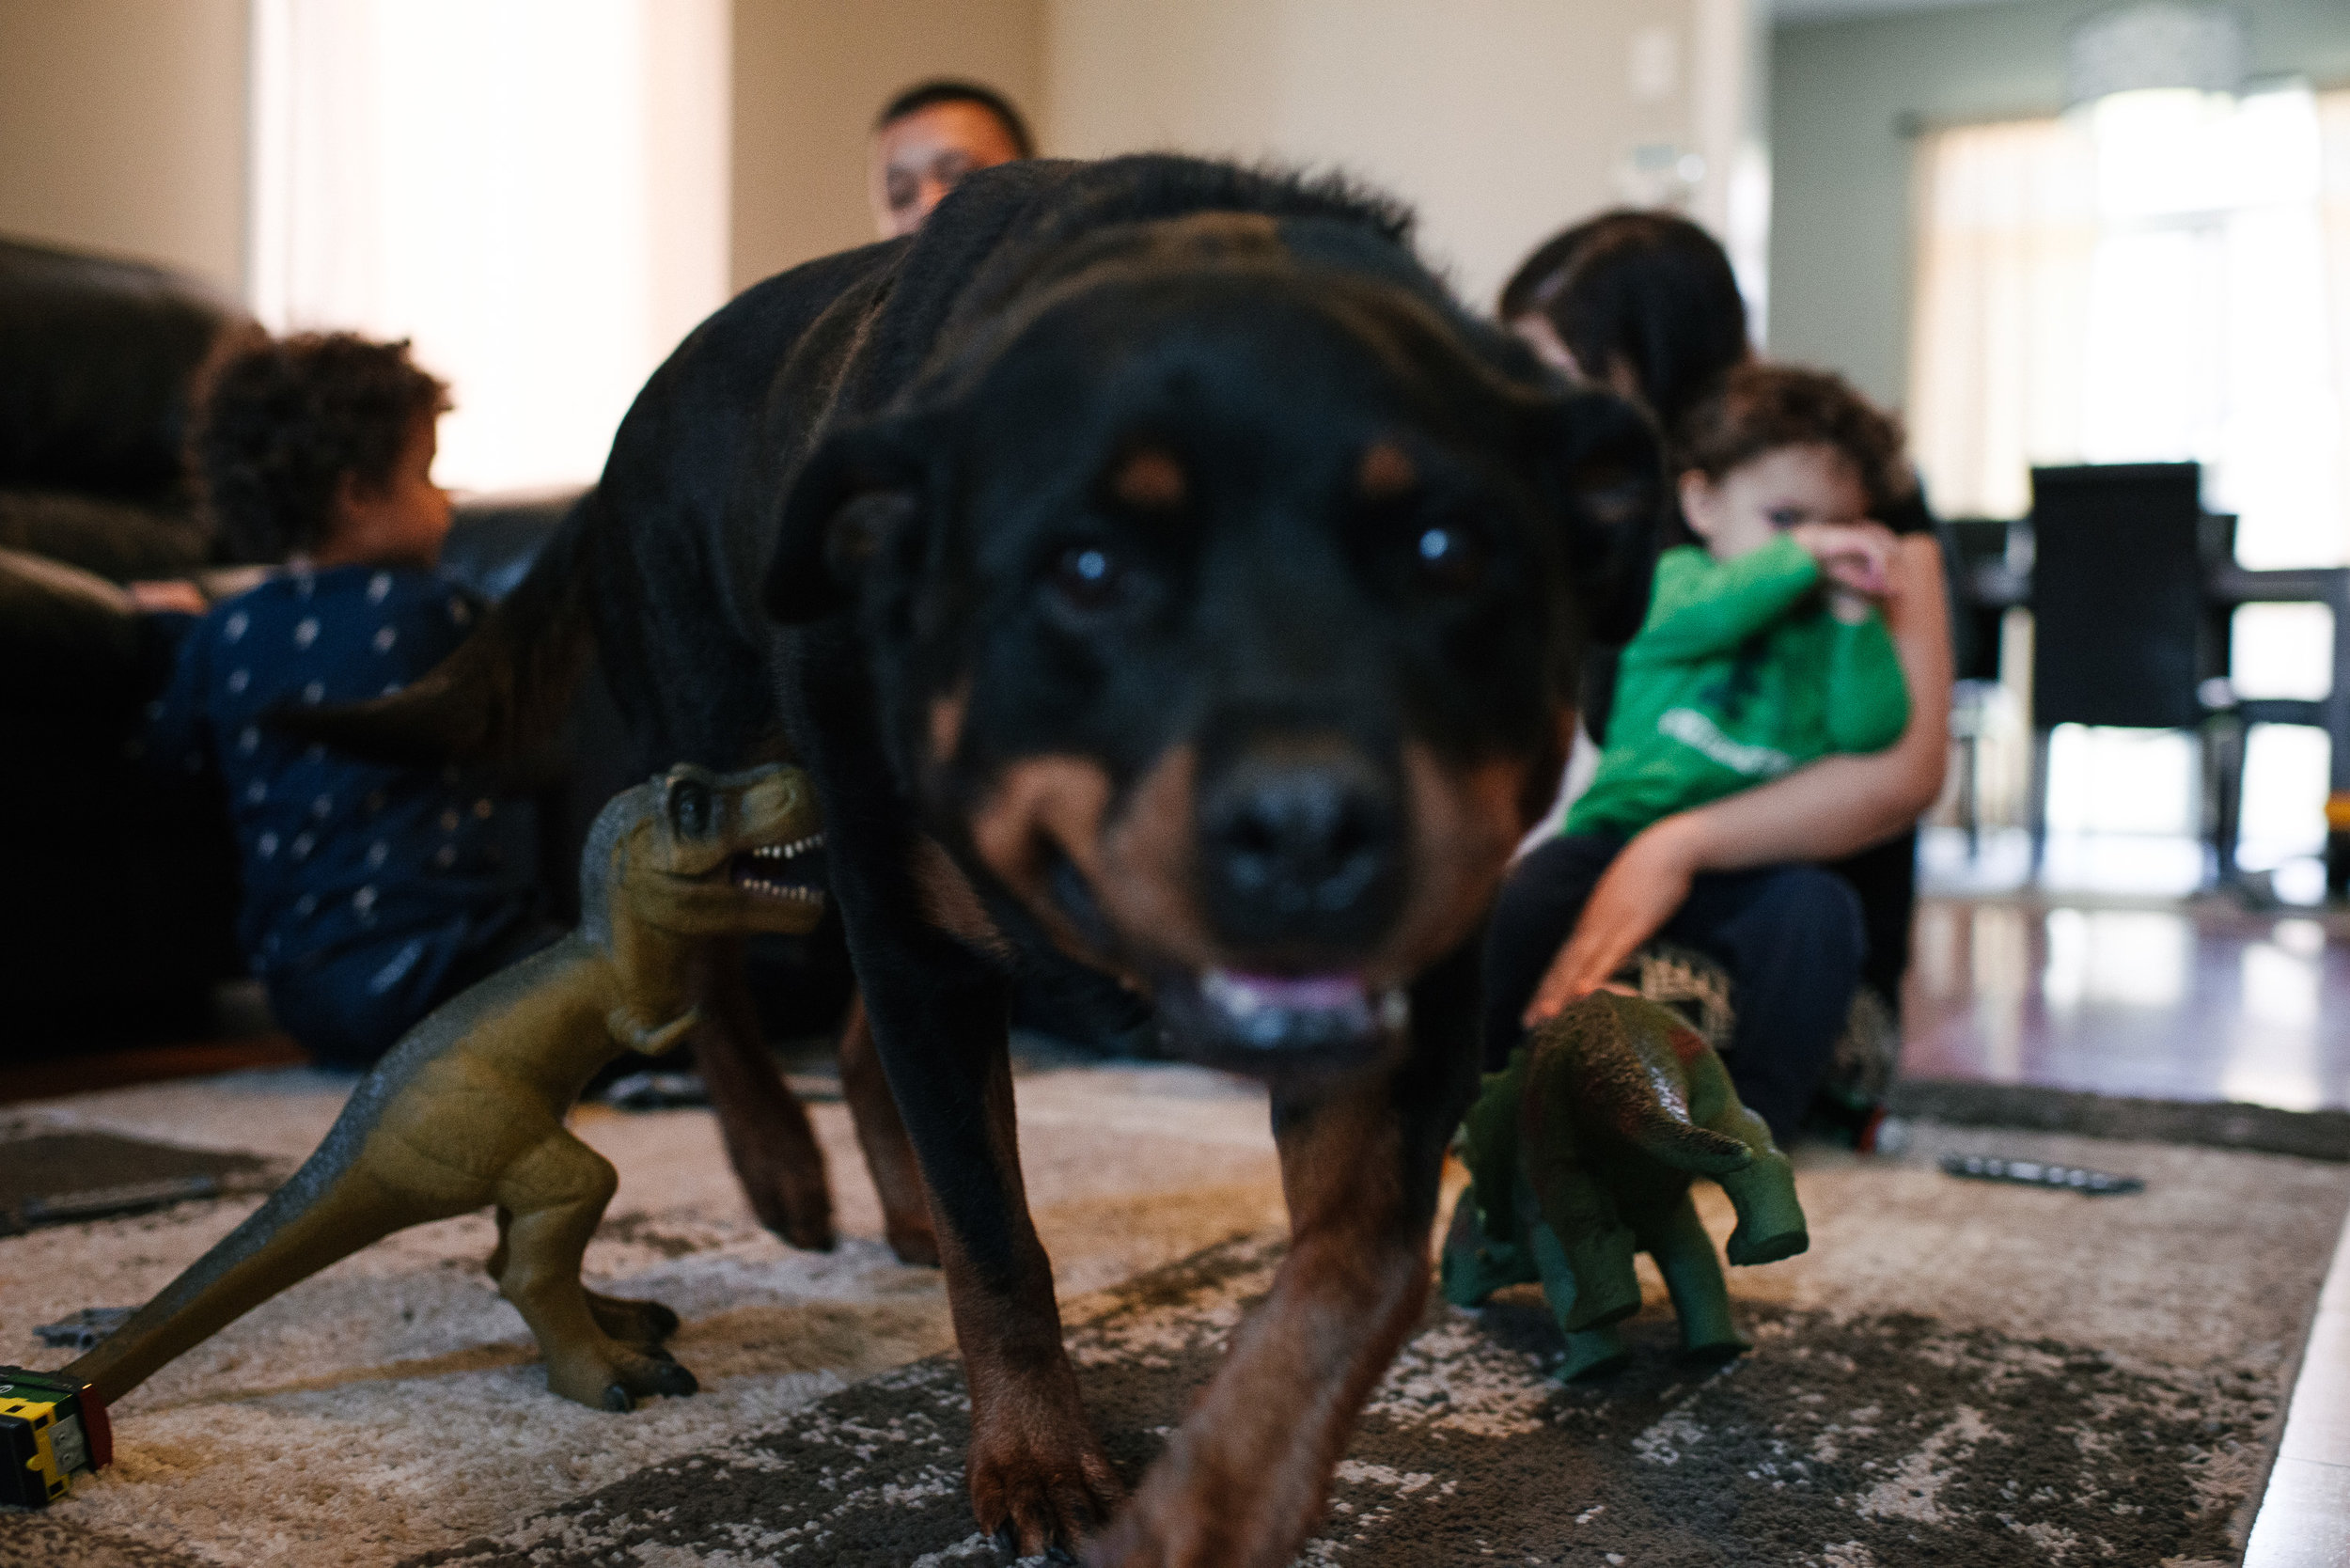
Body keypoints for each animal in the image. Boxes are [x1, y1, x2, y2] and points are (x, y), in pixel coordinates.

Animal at [312, 160, 1664, 1568]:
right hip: (730, 749)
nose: (1307, 827)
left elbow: (1357, 1273)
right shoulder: (915, 937)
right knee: (711, 965)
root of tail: (608, 456)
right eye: (1087, 567)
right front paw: (1037, 1456)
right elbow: (999, 1241)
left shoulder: (1416, 999)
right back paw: (779, 1161)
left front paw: (1215, 1503)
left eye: (1450, 548)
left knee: (859, 1043)